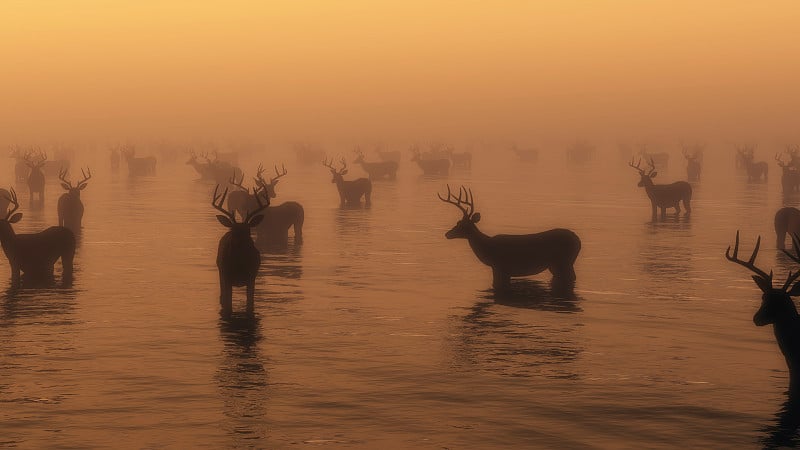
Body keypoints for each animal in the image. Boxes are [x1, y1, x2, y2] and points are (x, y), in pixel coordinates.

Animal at [212, 185, 268, 314]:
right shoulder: (226, 276)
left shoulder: (252, 277)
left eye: (248, 230)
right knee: (222, 296)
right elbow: (228, 303)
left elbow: (250, 303)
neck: (239, 266)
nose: (240, 242)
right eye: (234, 230)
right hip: (220, 271)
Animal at [438, 185, 580, 290]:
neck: (487, 248)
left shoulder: (500, 266)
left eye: (461, 224)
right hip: (558, 264)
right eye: (458, 222)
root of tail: (578, 240)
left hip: (564, 261)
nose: (447, 234)